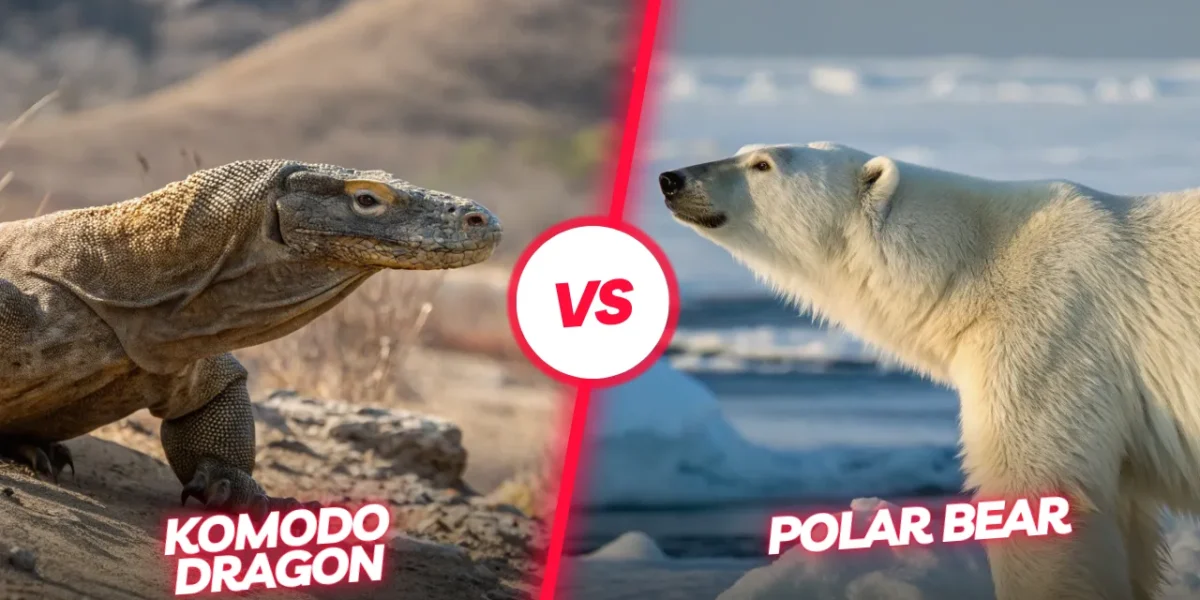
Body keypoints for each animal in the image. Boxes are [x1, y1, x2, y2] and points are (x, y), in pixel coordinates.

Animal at [657, 141, 1200, 600]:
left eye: (763, 164)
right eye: (746, 151)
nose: (671, 178)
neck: (973, 265)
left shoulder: (1052, 335)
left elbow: (1038, 487)